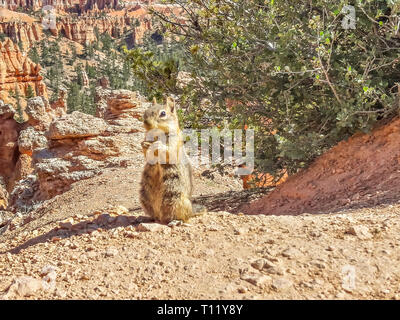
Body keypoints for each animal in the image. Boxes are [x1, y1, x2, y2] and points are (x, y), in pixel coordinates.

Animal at [139, 96, 205, 224]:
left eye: (163, 113)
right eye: (146, 110)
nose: (146, 123)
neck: (157, 135)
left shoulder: (174, 142)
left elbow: (169, 152)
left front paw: (157, 145)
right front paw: (144, 144)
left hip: (175, 198)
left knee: (184, 216)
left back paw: (175, 221)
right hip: (144, 196)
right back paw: (148, 218)